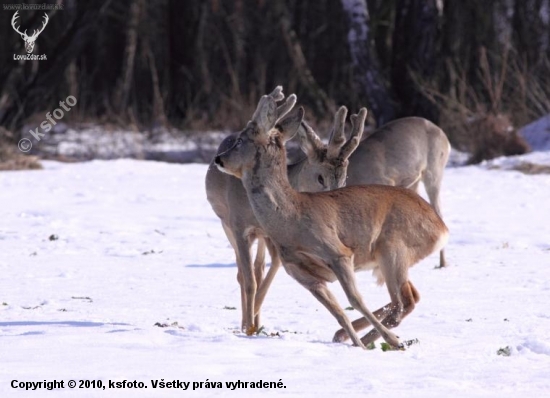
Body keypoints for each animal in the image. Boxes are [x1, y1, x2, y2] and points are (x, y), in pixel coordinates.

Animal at [350, 118, 452, 268]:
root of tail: (445, 137)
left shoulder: (384, 181)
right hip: (415, 181)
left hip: (434, 170)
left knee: (438, 210)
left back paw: (442, 263)